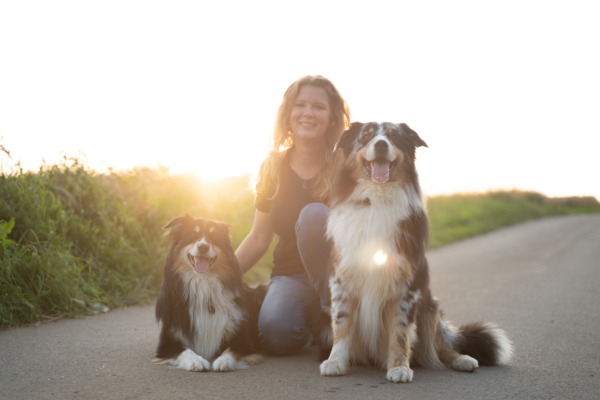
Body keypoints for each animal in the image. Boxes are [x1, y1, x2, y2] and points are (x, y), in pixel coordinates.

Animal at [154, 216, 264, 372]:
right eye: (192, 235)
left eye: (214, 236)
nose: (203, 247)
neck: (203, 283)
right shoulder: (167, 343)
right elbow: (185, 350)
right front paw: (196, 361)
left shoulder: (244, 341)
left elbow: (231, 350)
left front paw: (223, 361)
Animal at [318, 121, 510, 382]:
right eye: (367, 135)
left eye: (394, 136)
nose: (381, 145)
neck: (377, 200)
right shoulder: (342, 280)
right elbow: (342, 324)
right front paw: (335, 361)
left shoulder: (407, 286)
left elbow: (400, 331)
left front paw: (399, 367)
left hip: (429, 306)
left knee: (438, 347)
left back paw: (463, 359)